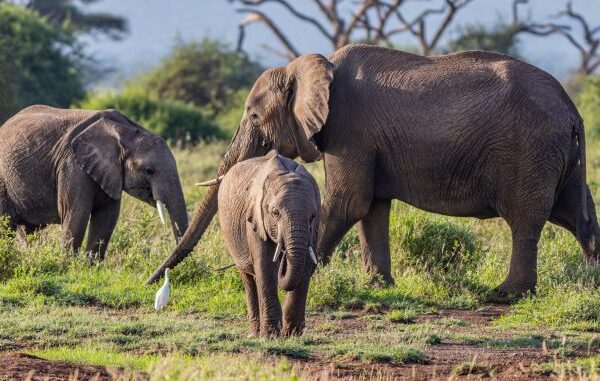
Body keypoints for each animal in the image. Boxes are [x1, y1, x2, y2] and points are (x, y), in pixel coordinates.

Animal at [0, 105, 188, 256]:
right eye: (149, 171)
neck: (127, 131)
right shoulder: (73, 165)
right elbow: (77, 215)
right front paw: (68, 267)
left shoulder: (111, 172)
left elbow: (107, 218)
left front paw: (91, 267)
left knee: (30, 229)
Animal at [146, 43, 600, 294]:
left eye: (254, 116)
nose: (151, 281)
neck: (311, 65)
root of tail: (572, 109)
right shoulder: (369, 142)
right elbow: (371, 207)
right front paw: (379, 286)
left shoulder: (351, 128)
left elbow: (348, 202)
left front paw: (299, 277)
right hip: (559, 155)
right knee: (578, 215)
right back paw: (592, 283)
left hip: (530, 151)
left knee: (526, 220)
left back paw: (505, 295)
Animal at [216, 151, 318, 336]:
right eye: (275, 213)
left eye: (312, 216)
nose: (284, 258)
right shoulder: (254, 217)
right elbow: (265, 265)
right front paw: (270, 336)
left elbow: (307, 264)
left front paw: (292, 333)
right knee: (248, 278)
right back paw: (254, 333)